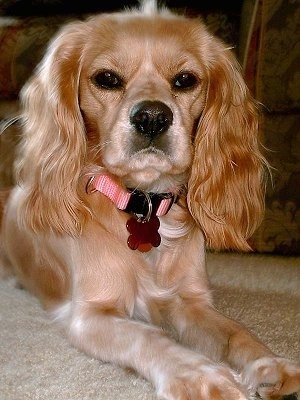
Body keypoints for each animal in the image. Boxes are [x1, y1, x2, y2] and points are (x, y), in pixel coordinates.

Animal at [0, 1, 300, 398]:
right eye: (107, 79)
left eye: (185, 80)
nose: (153, 117)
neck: (142, 202)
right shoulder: (90, 315)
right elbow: (148, 338)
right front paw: (200, 375)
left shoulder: (190, 301)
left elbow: (235, 332)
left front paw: (271, 364)